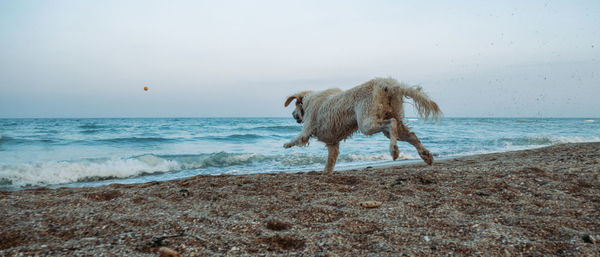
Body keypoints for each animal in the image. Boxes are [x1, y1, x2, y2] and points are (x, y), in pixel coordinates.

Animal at [282, 77, 440, 173]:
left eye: (294, 108)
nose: (293, 115)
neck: (307, 102)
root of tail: (384, 84)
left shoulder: (306, 130)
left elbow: (297, 138)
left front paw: (286, 144)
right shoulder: (333, 143)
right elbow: (330, 161)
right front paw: (326, 173)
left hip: (367, 123)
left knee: (391, 124)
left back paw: (394, 150)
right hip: (391, 119)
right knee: (411, 135)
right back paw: (426, 155)